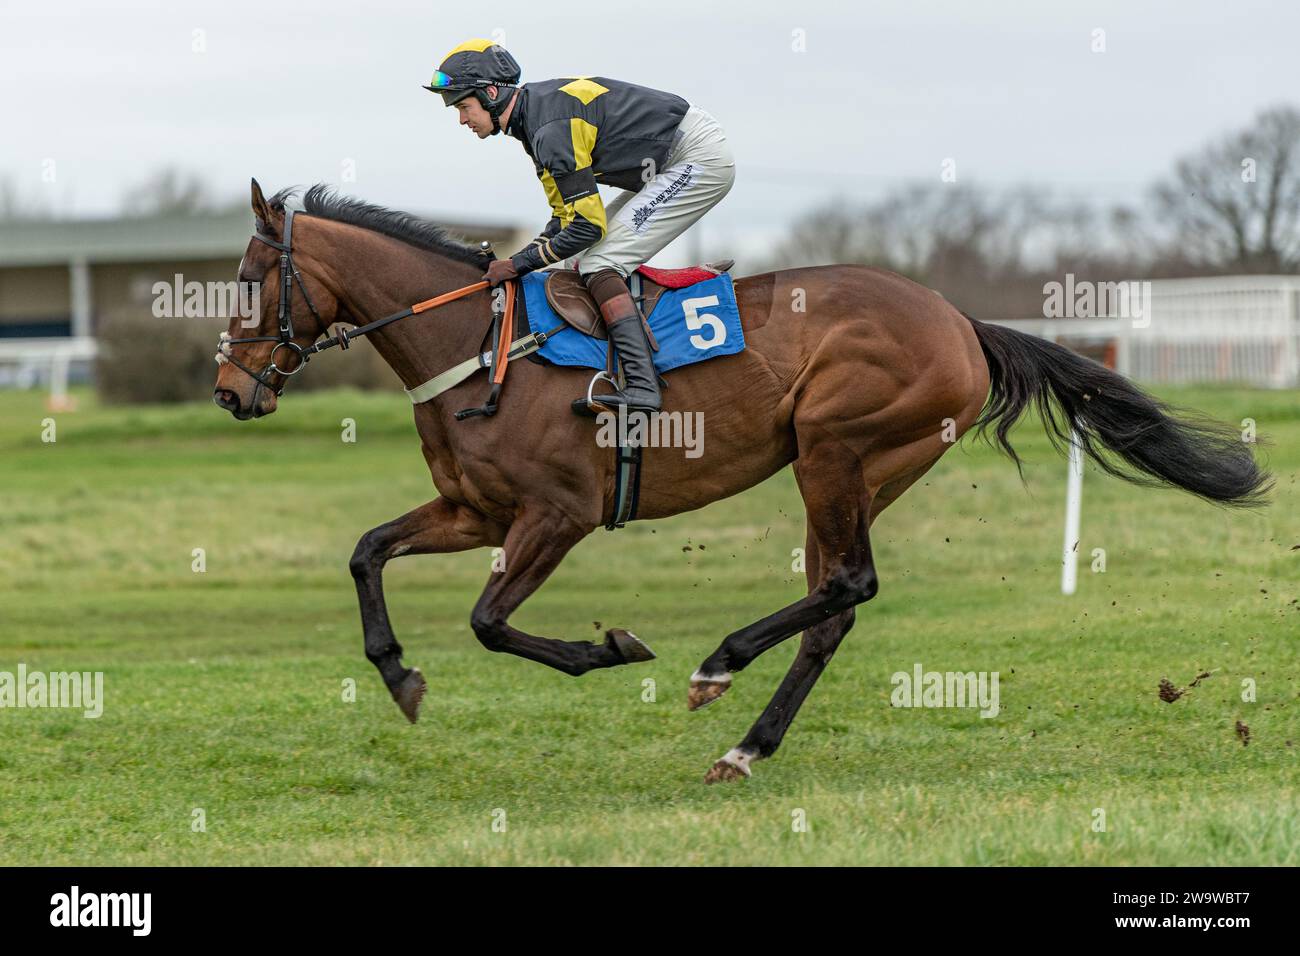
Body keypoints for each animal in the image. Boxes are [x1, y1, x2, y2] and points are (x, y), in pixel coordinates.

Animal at [213, 179, 1268, 785]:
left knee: (848, 584)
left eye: (253, 280)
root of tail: (960, 320)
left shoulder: (558, 514)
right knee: (836, 605)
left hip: (834, 447)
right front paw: (398, 674)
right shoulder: (478, 509)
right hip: (859, 471)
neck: (478, 347)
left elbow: (488, 622)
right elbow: (367, 552)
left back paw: (718, 665)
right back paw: (746, 747)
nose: (229, 389)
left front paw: (614, 647)